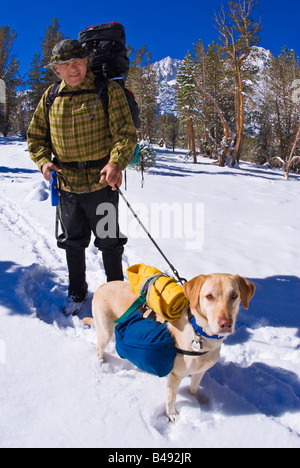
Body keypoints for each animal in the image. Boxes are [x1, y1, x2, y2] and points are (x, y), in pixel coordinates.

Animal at [84, 272, 255, 422]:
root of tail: (103, 285)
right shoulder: (175, 376)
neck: (199, 331)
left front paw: (197, 399)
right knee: (99, 349)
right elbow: (171, 399)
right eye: (209, 296)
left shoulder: (200, 370)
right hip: (105, 331)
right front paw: (171, 415)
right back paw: (100, 363)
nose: (225, 324)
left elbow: (194, 387)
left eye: (234, 295)